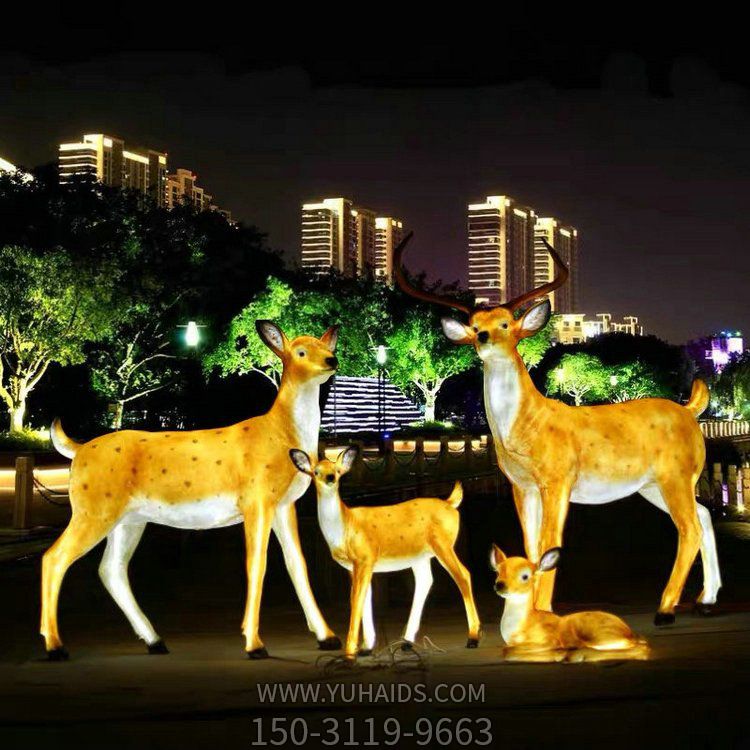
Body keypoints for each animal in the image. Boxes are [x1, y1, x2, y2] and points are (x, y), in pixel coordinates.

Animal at [41, 321, 343, 660]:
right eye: (301, 351)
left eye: (327, 346)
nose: (332, 360)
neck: (281, 434)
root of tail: (77, 451)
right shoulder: (256, 500)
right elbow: (257, 564)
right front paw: (254, 644)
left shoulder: (283, 505)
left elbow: (297, 565)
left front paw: (328, 637)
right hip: (92, 509)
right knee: (54, 558)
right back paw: (55, 647)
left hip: (128, 519)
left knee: (111, 569)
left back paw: (155, 641)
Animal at [289, 446, 482, 659]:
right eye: (316, 472)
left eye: (338, 470)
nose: (330, 477)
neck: (346, 524)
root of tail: (450, 503)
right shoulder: (354, 566)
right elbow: (365, 598)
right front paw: (366, 647)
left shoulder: (365, 558)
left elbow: (356, 600)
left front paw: (349, 653)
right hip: (419, 555)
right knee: (425, 581)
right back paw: (406, 642)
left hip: (443, 544)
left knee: (463, 575)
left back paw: (473, 638)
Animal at [394, 232, 721, 626]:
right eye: (474, 326)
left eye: (506, 324)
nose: (485, 337)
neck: (526, 425)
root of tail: (690, 410)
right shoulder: (522, 487)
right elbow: (532, 545)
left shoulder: (558, 480)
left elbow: (551, 543)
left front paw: (543, 610)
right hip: (654, 484)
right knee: (704, 516)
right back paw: (706, 600)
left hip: (674, 475)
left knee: (689, 527)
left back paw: (666, 608)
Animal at [490, 545, 649, 662]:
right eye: (498, 572)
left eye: (525, 576)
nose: (500, 585)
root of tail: (629, 632)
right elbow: (506, 648)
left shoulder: (549, 639)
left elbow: (508, 651)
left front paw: (556, 655)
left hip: (595, 633)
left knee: (641, 649)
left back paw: (575, 655)